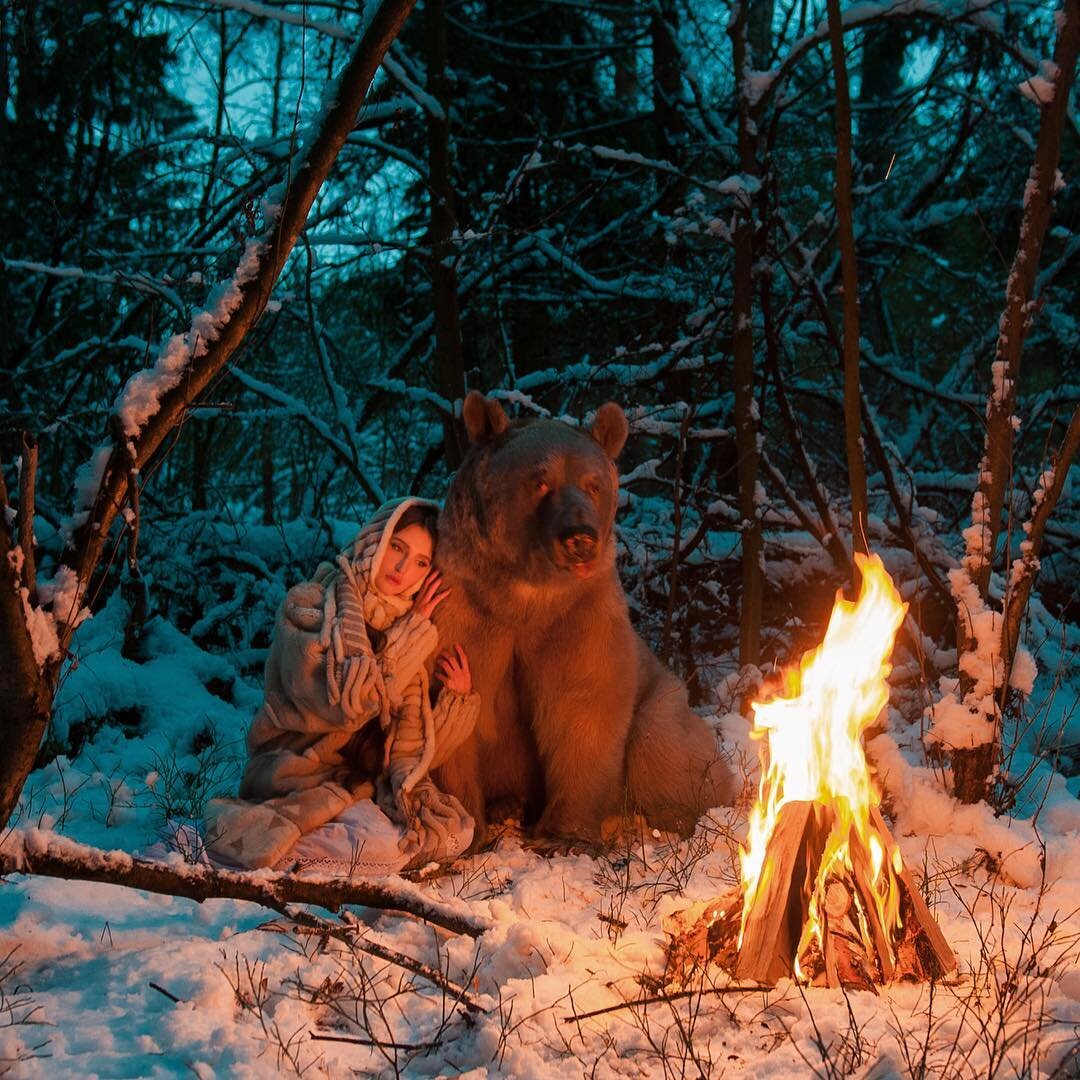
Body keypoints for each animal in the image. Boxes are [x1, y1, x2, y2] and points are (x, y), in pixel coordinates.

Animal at [429, 390, 734, 842]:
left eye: (593, 484)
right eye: (540, 481)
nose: (580, 540)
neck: (524, 595)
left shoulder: (579, 614)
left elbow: (583, 701)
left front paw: (564, 835)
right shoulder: (466, 610)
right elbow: (454, 712)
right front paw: (466, 828)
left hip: (665, 700)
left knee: (661, 743)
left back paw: (667, 817)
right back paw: (507, 805)